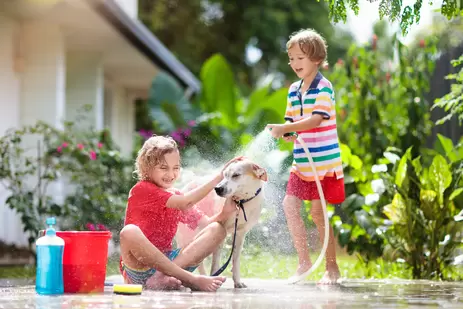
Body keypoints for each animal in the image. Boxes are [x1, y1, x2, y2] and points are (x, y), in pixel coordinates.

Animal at [177, 158, 268, 288]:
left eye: (236, 175)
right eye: (224, 175)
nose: (217, 188)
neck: (241, 203)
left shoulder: (240, 233)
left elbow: (235, 259)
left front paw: (237, 281)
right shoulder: (222, 228)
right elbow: (216, 261)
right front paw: (214, 277)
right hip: (186, 236)